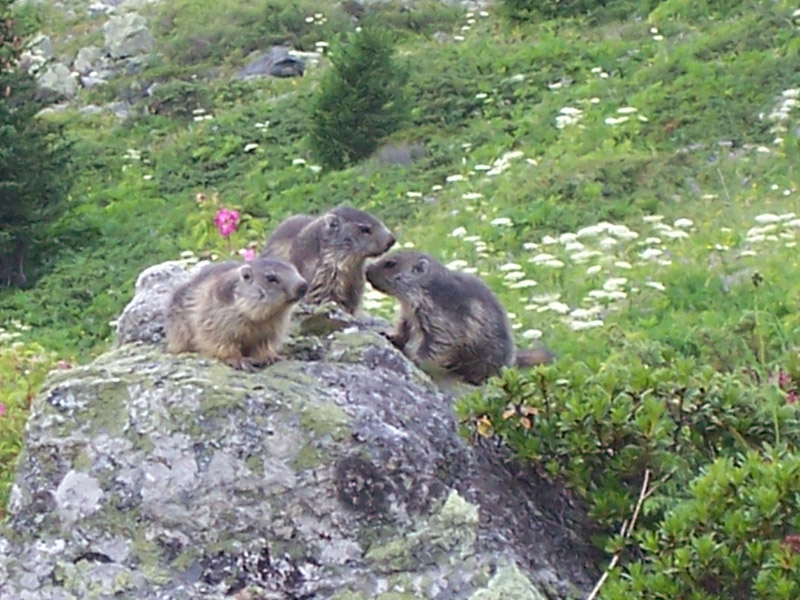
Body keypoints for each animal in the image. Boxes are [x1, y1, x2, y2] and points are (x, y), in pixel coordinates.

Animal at [166, 258, 307, 371]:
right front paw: (240, 360)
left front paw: (271, 356)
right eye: (271, 278)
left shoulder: (275, 325)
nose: (303, 285)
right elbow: (219, 340)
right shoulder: (215, 316)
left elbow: (264, 343)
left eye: (295, 269)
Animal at [366, 251, 553, 385]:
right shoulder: (408, 313)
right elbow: (404, 327)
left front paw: (415, 358)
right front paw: (390, 336)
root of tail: (512, 359)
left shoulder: (439, 315)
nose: (367, 270)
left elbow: (440, 340)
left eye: (390, 263)